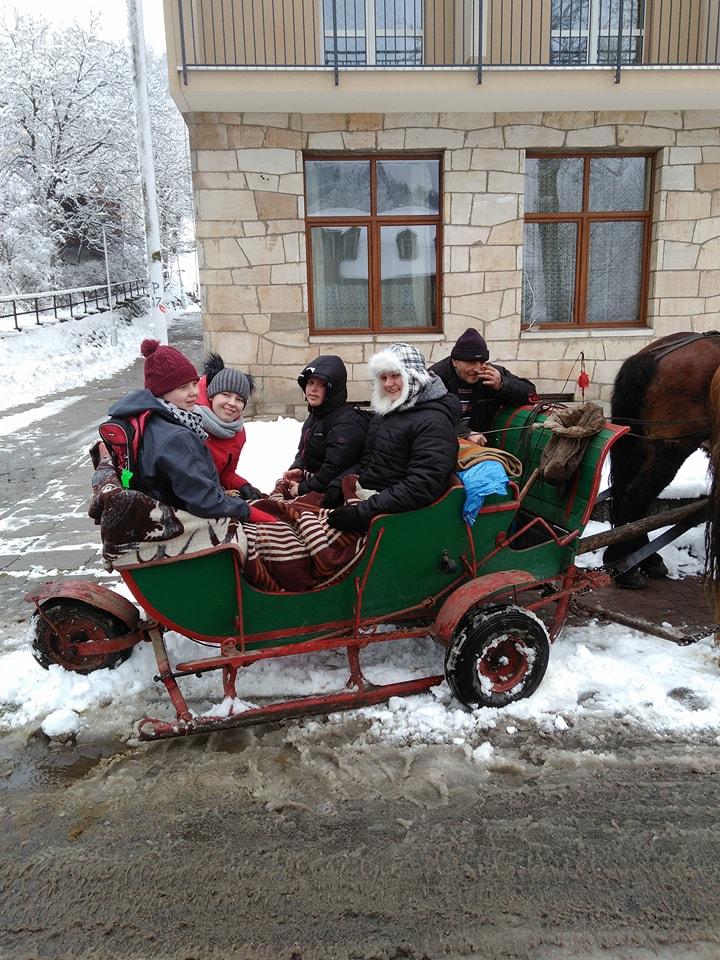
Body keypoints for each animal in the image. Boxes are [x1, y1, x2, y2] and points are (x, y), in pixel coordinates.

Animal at [608, 330, 720, 588]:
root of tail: (654, 355)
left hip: (642, 442)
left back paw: (645, 560)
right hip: (673, 444)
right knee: (636, 495)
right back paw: (623, 566)